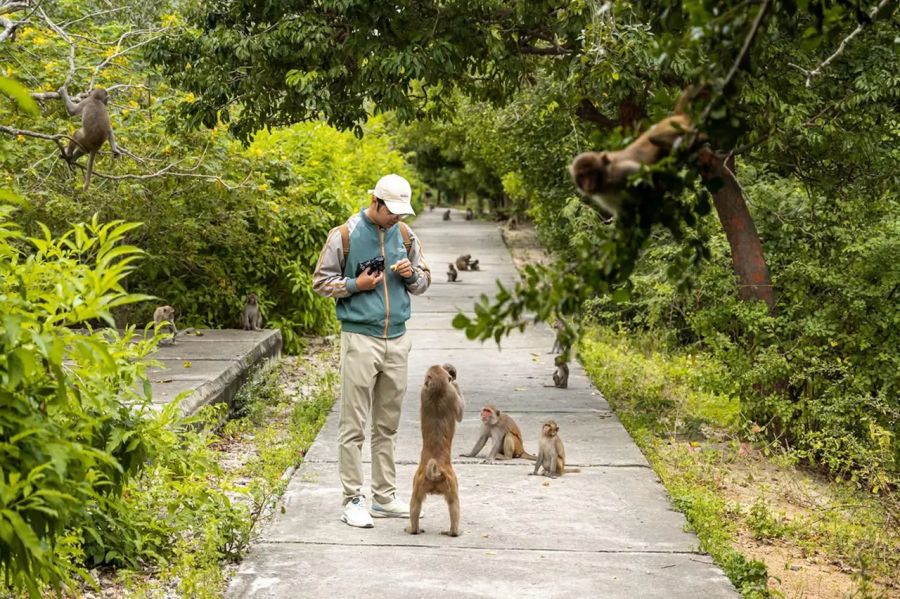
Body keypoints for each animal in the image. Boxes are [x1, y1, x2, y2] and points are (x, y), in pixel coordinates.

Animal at [407, 365, 464, 537]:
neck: (437, 390)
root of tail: (436, 471)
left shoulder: (423, 392)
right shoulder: (451, 393)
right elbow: (460, 413)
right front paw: (455, 382)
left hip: (418, 483)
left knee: (415, 504)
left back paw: (414, 529)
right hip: (451, 484)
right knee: (454, 505)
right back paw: (453, 532)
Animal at [568, 88, 705, 216]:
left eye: (591, 174)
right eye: (582, 176)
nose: (588, 184)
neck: (605, 181)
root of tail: (675, 115)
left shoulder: (620, 172)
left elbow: (645, 176)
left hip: (674, 124)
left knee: (654, 138)